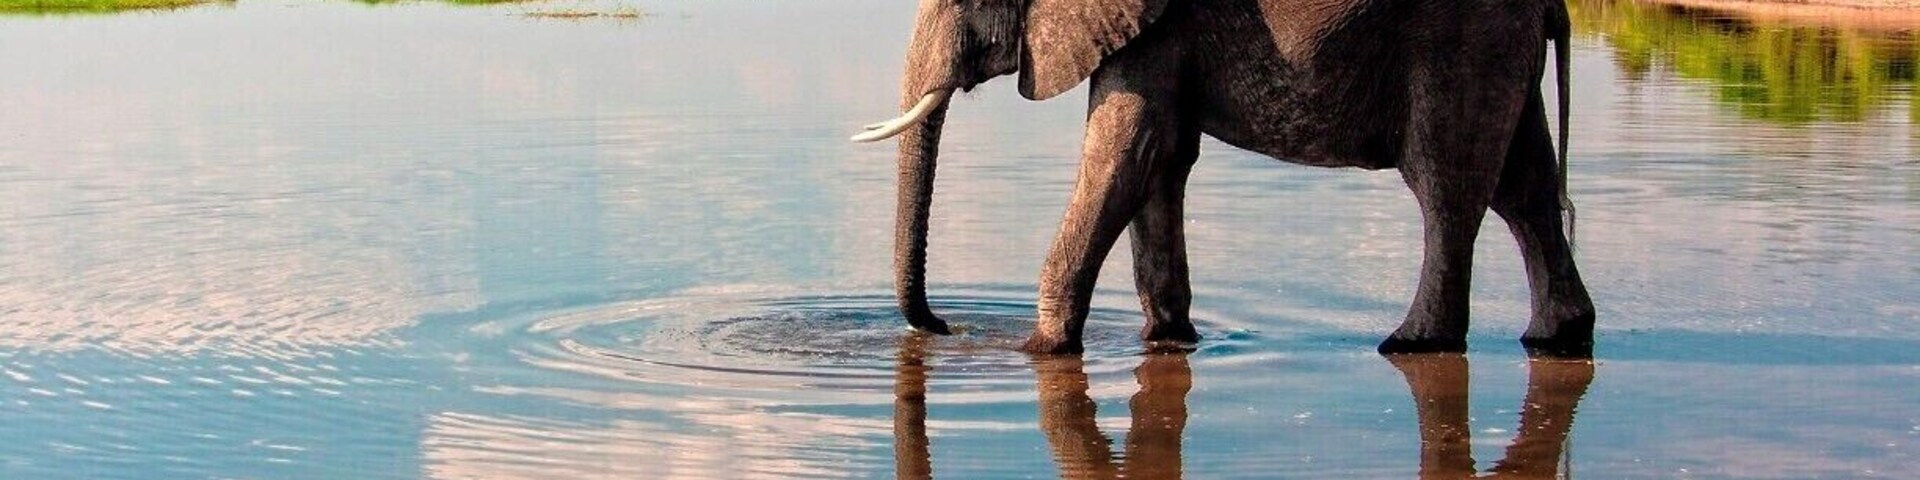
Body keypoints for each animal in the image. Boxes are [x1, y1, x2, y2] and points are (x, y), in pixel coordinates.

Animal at [853, 0, 1596, 356]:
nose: (948, 328)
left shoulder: (1153, 27)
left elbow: (1121, 154)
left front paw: (1040, 350)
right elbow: (1158, 162)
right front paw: (1170, 340)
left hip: (1462, 43)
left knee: (1445, 184)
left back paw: (1411, 344)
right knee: (1525, 189)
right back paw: (1556, 337)